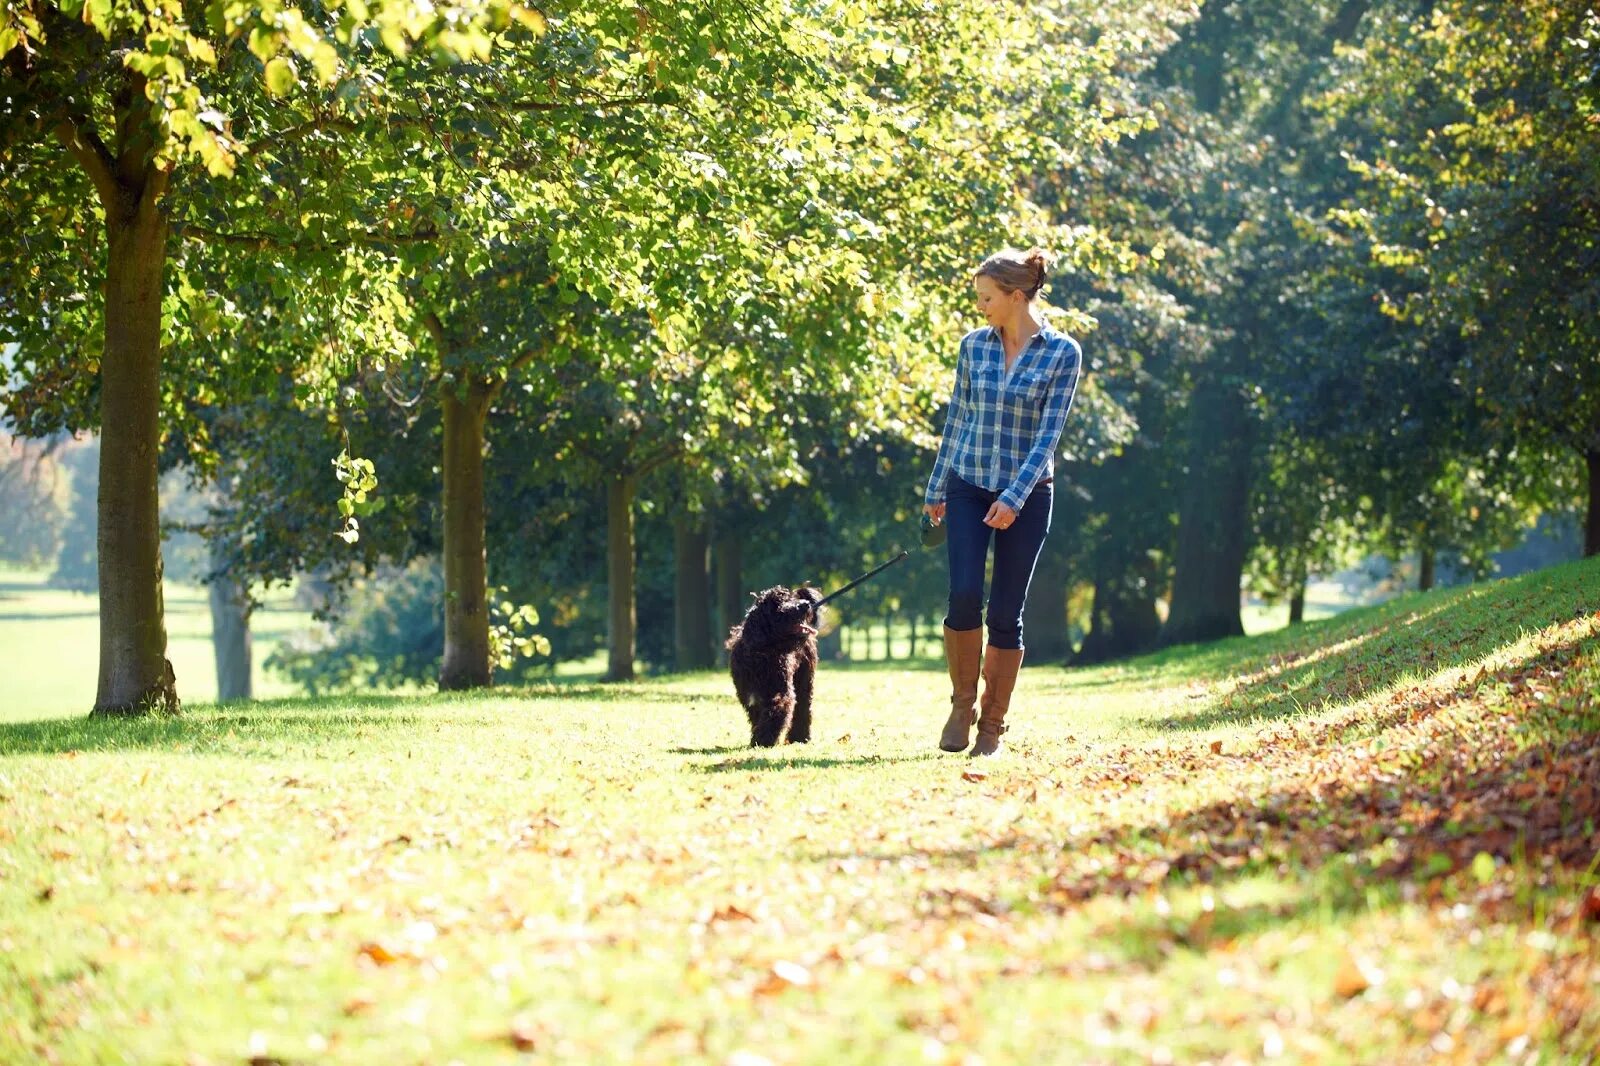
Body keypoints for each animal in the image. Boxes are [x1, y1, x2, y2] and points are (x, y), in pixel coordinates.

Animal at [729, 582, 825, 745]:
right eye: (778, 605)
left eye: (790, 599)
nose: (805, 604)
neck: (763, 655)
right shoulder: (750, 696)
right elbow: (758, 716)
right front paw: (758, 737)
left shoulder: (779, 691)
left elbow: (776, 711)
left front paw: (763, 739)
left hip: (804, 680)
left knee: (803, 707)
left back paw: (800, 737)